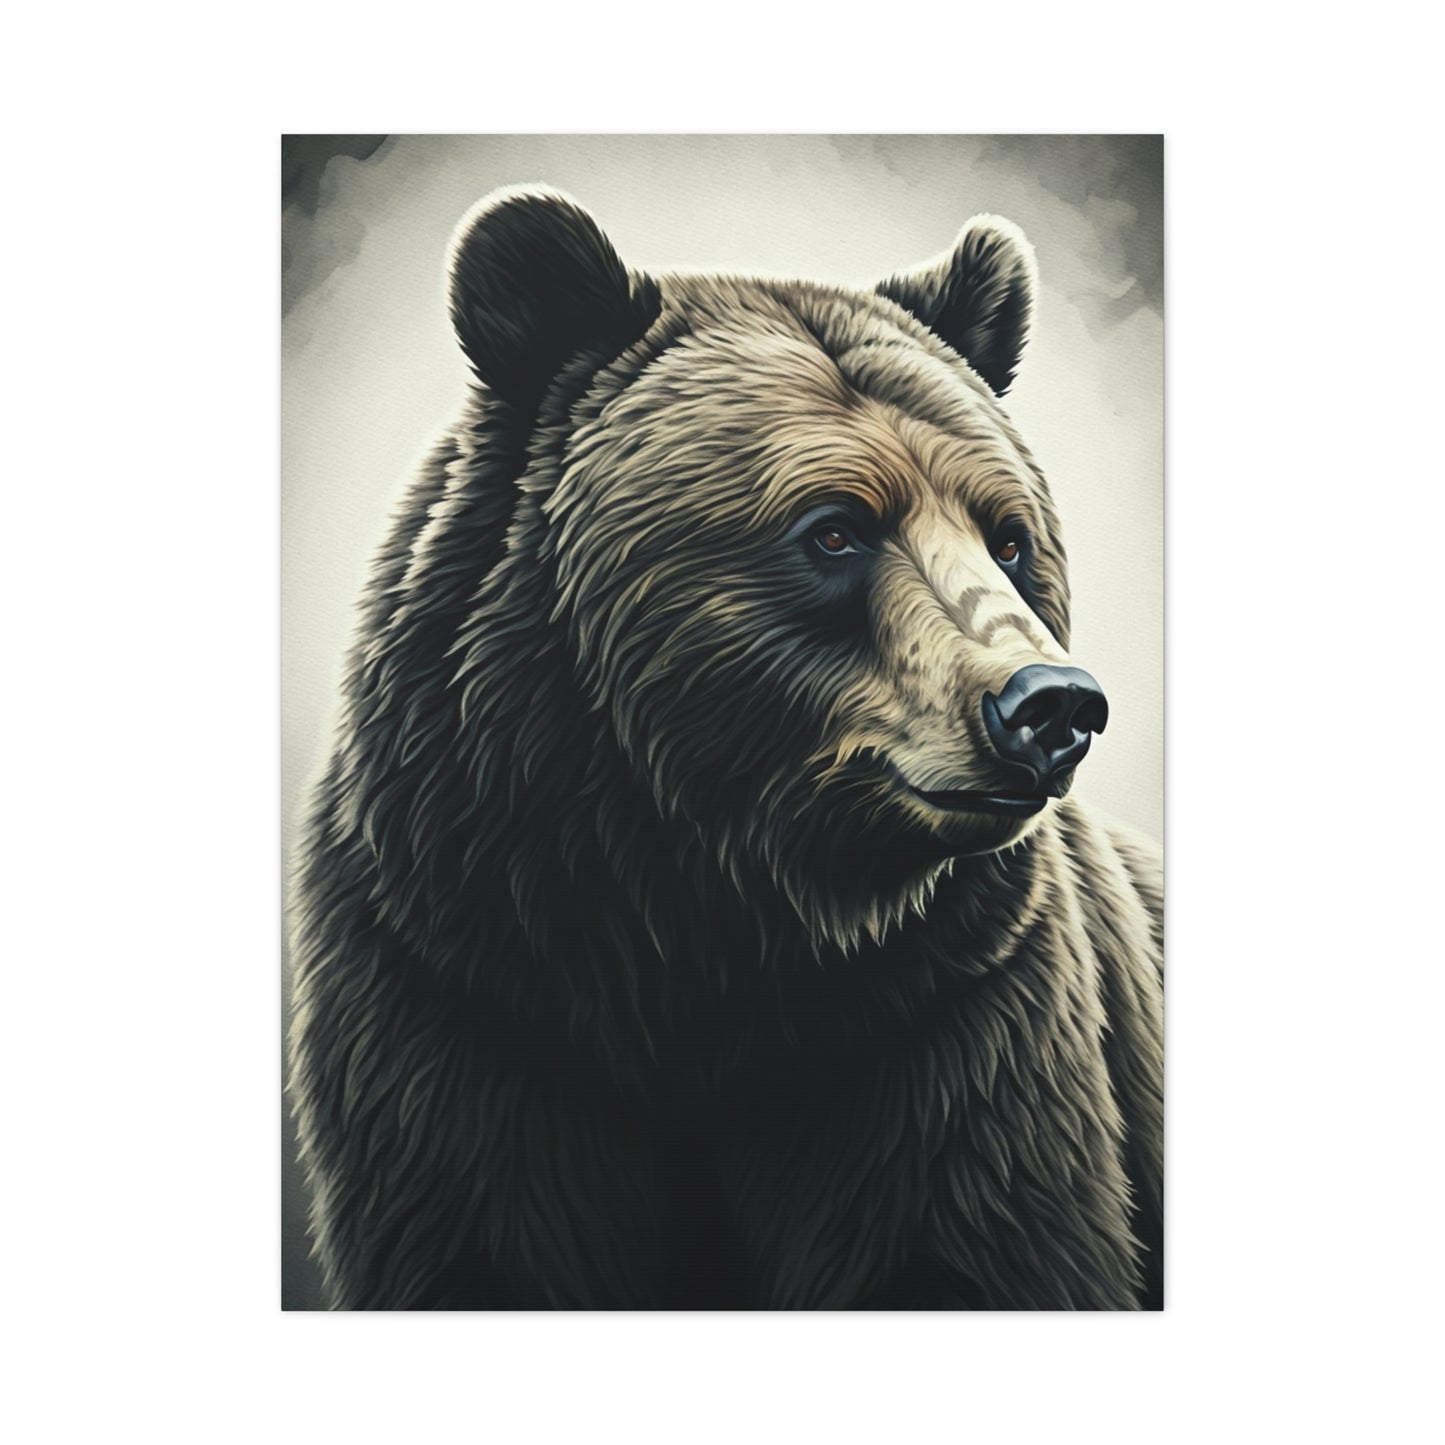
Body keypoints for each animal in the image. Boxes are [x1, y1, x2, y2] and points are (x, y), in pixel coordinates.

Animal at [288, 186, 1164, 1310]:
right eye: (833, 528)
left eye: (1006, 536)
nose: (1048, 703)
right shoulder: (461, 988)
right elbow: (488, 1241)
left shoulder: (947, 1022)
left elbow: (965, 1241)